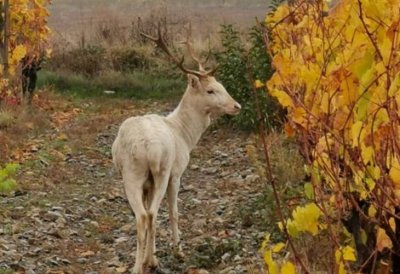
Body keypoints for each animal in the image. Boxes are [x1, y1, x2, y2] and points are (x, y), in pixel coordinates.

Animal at [111, 26, 241, 272]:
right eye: (210, 91)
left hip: (132, 174)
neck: (184, 134)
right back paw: (150, 262)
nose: (236, 106)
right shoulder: (177, 172)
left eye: (222, 86)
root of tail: (148, 147)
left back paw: (138, 265)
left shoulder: (148, 184)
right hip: (161, 170)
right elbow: (173, 212)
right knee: (151, 213)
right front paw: (177, 251)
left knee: (143, 215)